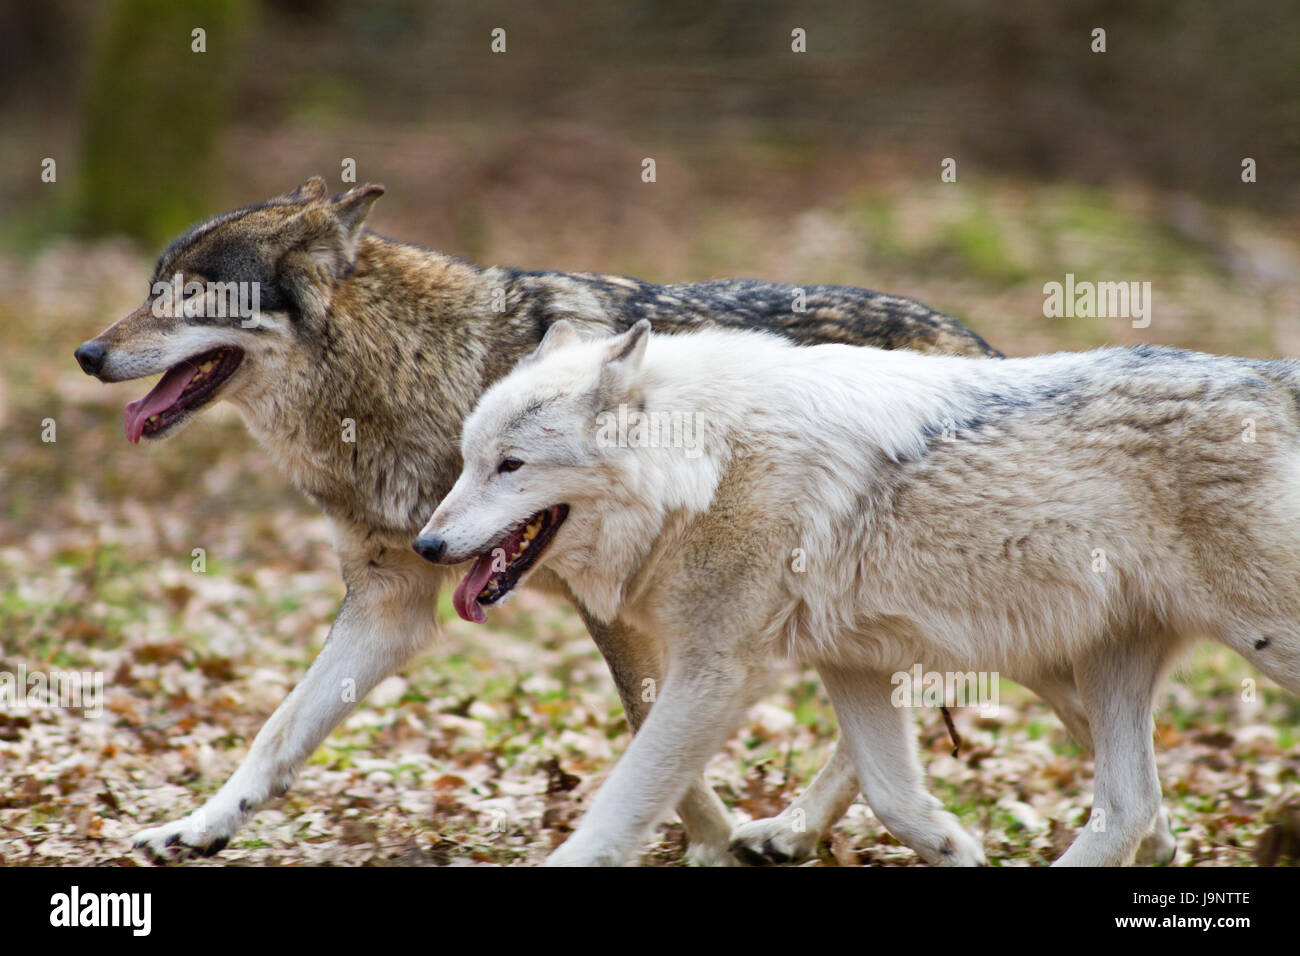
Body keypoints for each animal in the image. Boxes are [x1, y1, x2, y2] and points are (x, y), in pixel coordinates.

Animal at [74, 176, 1003, 864]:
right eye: (150, 291)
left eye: (194, 296)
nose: (87, 353)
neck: (413, 374)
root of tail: (987, 347)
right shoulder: (389, 602)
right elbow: (278, 731)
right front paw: (199, 828)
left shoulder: (614, 609)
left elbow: (656, 738)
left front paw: (705, 845)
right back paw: (802, 831)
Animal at [417, 319, 1300, 866]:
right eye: (467, 459)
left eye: (511, 465)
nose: (427, 545)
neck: (711, 461)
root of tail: (1270, 376)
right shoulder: (852, 665)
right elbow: (891, 791)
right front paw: (953, 845)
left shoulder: (718, 672)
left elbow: (623, 800)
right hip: (1098, 664)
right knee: (1130, 806)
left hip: (1248, 643)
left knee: (1134, 804)